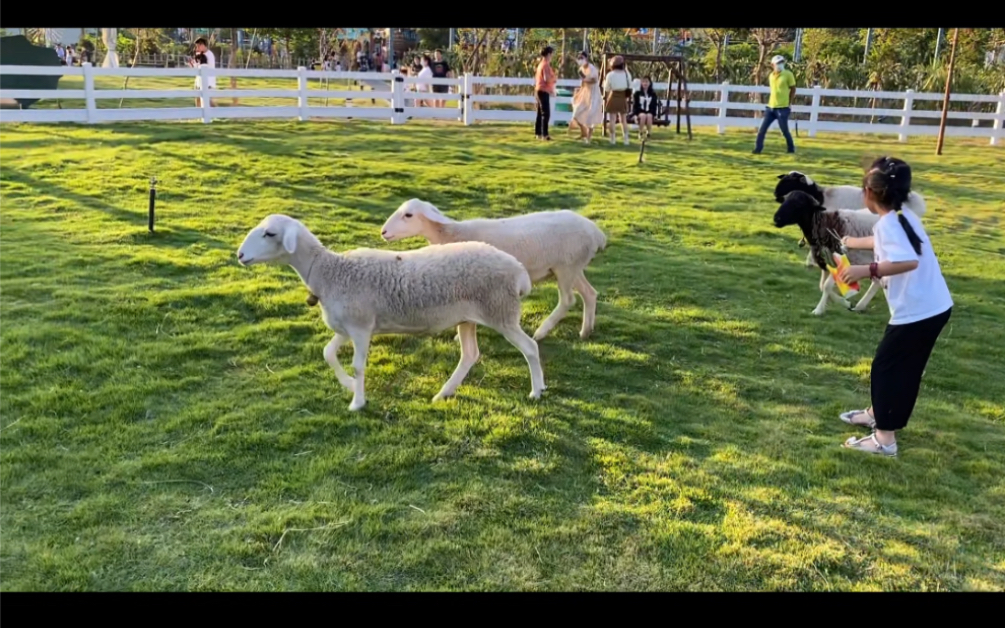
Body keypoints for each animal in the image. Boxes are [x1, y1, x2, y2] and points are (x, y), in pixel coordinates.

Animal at [236, 214, 546, 411]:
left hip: (501, 311)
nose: (240, 255)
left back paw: (537, 390)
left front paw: (357, 402)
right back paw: (443, 393)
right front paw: (349, 386)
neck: (329, 272)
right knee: (470, 354)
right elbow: (327, 353)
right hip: (469, 317)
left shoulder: (361, 327)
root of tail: (518, 271)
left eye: (270, 233)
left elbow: (358, 365)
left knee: (530, 347)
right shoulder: (348, 326)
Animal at [379, 197, 607, 339]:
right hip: (574, 267)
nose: (383, 232)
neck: (452, 234)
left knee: (568, 300)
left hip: (566, 267)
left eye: (408, 215)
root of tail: (596, 232)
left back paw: (541, 332)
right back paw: (585, 331)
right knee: (590, 294)